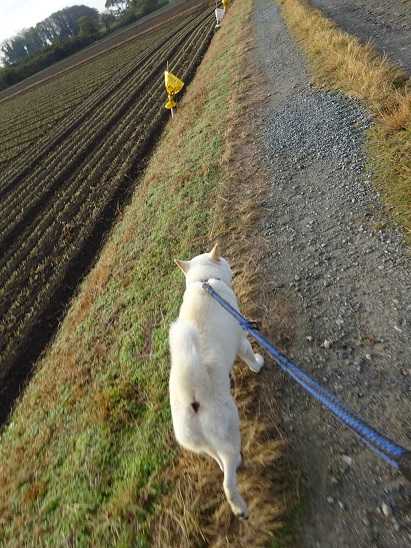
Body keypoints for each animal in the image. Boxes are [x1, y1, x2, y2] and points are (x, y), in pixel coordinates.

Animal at [169, 243, 264, 518]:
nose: (230, 263)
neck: (205, 282)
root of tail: (191, 398)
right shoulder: (241, 337)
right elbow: (248, 355)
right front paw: (258, 365)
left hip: (202, 443)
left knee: (218, 460)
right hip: (229, 427)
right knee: (228, 478)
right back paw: (240, 507)